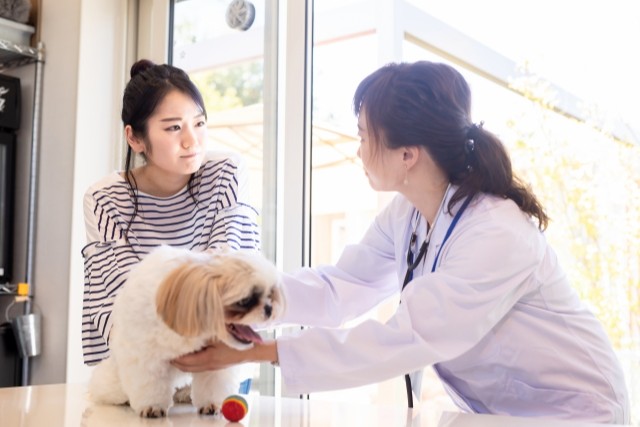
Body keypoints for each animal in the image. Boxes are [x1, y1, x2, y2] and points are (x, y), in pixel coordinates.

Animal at [88, 246, 284, 416]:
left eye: (270, 294)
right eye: (245, 301)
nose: (269, 309)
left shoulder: (213, 365)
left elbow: (211, 385)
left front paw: (210, 404)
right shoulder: (144, 357)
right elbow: (149, 384)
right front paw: (152, 406)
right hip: (113, 384)